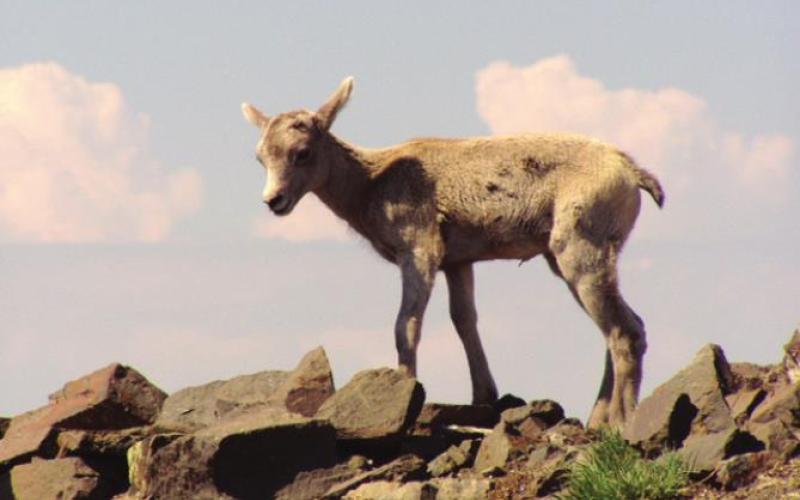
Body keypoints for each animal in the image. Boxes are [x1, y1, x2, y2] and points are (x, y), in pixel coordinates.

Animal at [241, 77, 664, 428]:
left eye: (302, 152)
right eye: (260, 156)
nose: (273, 201)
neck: (371, 185)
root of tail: (632, 173)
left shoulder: (419, 252)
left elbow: (406, 326)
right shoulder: (458, 263)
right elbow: (464, 320)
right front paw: (483, 397)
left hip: (578, 251)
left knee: (624, 331)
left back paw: (622, 424)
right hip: (569, 260)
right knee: (625, 326)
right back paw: (598, 419)